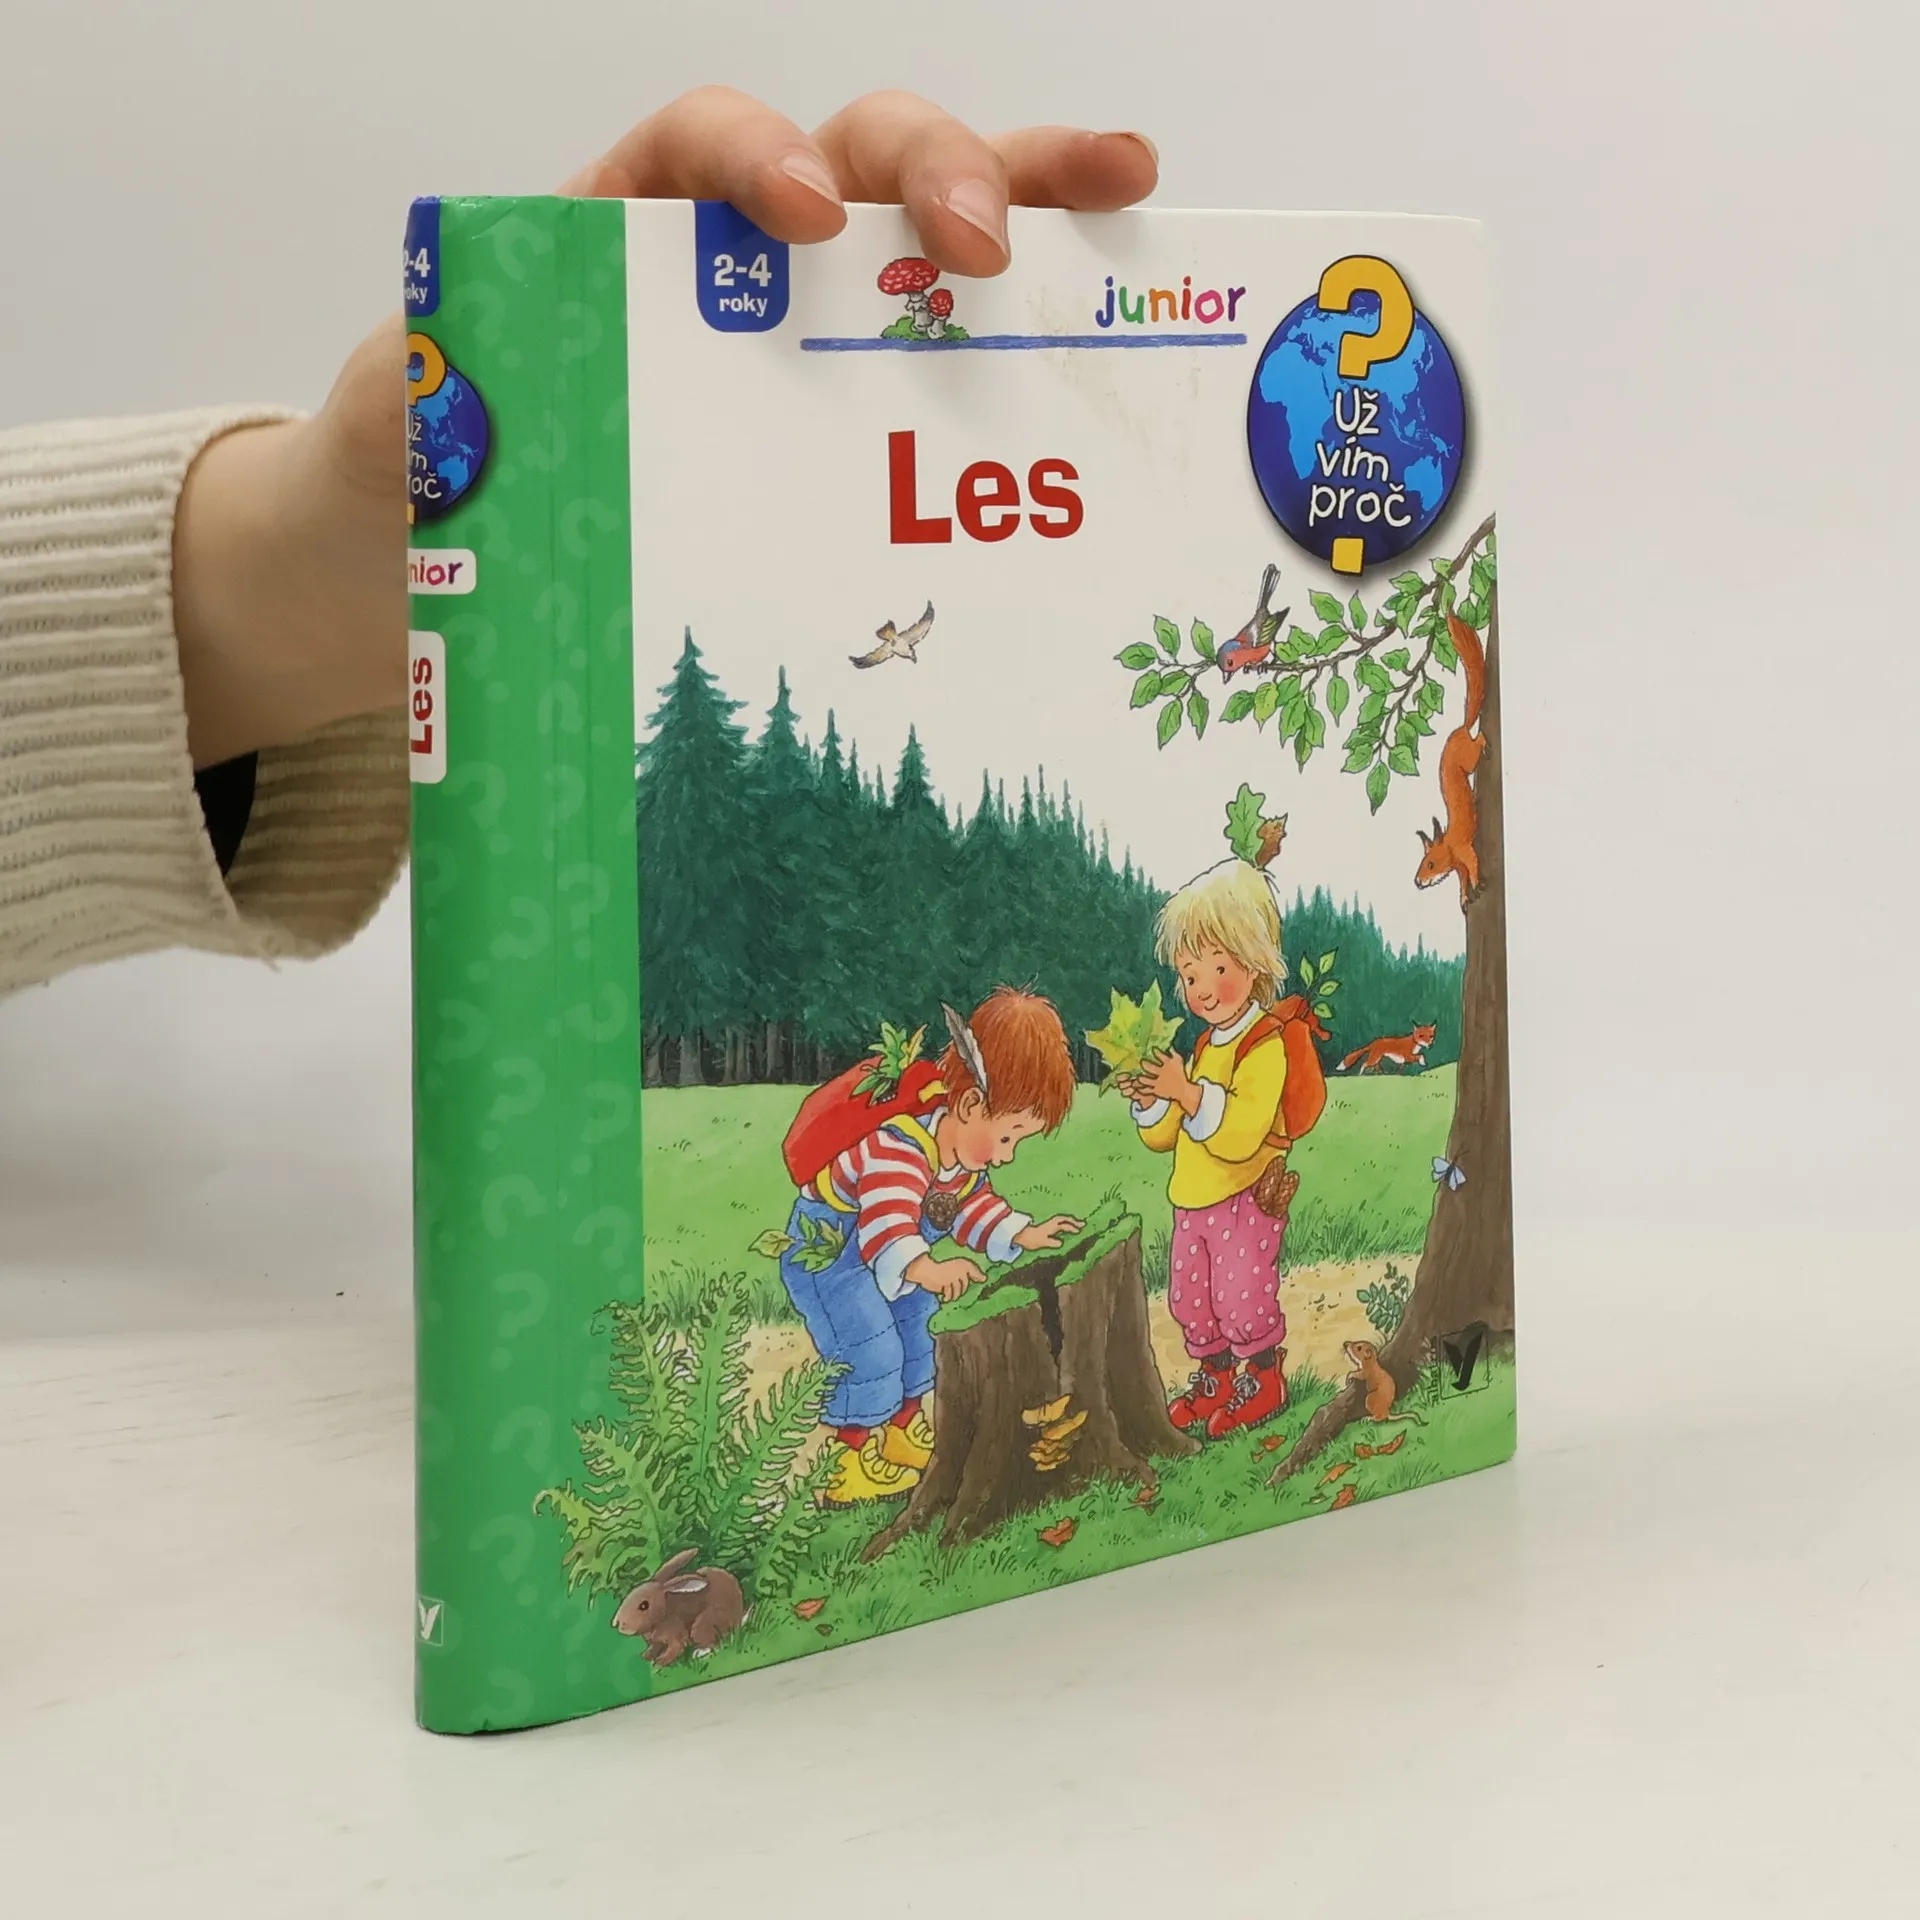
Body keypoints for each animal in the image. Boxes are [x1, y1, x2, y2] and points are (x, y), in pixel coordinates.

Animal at [611, 1549, 747, 1666]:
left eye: (644, 1605)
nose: (618, 1624)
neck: (664, 1610)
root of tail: (739, 1616)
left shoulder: (675, 1633)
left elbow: (676, 1647)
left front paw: (660, 1662)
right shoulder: (656, 1642)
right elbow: (654, 1648)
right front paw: (646, 1656)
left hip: (704, 1623)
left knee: (714, 1643)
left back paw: (699, 1653)